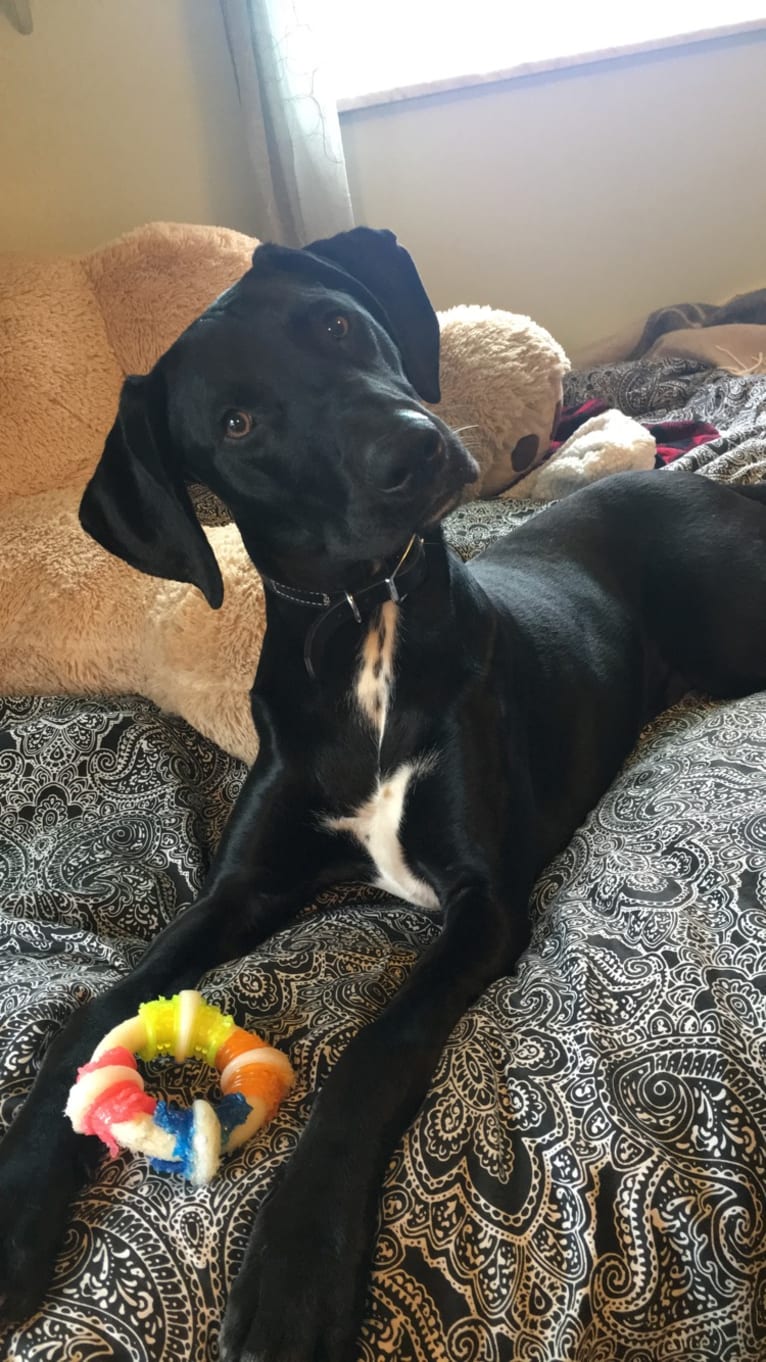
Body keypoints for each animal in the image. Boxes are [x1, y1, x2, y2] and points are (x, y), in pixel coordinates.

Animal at [1, 228, 763, 1356]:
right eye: (236, 423)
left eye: (337, 324)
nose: (409, 452)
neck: (367, 627)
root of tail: (716, 489)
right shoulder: (239, 890)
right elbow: (92, 1008)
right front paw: (17, 1197)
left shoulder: (483, 904)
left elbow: (377, 1047)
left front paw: (295, 1262)